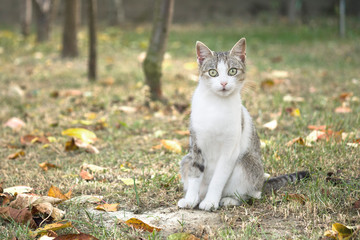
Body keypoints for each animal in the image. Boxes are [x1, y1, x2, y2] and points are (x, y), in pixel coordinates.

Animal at [178, 38, 310, 211]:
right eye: (213, 72)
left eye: (232, 71)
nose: (223, 83)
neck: (216, 104)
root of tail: (262, 182)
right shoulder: (196, 146)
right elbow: (195, 173)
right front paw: (190, 199)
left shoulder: (230, 150)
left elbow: (218, 179)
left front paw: (211, 202)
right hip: (185, 159)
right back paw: (199, 197)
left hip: (246, 163)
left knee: (253, 194)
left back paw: (229, 199)